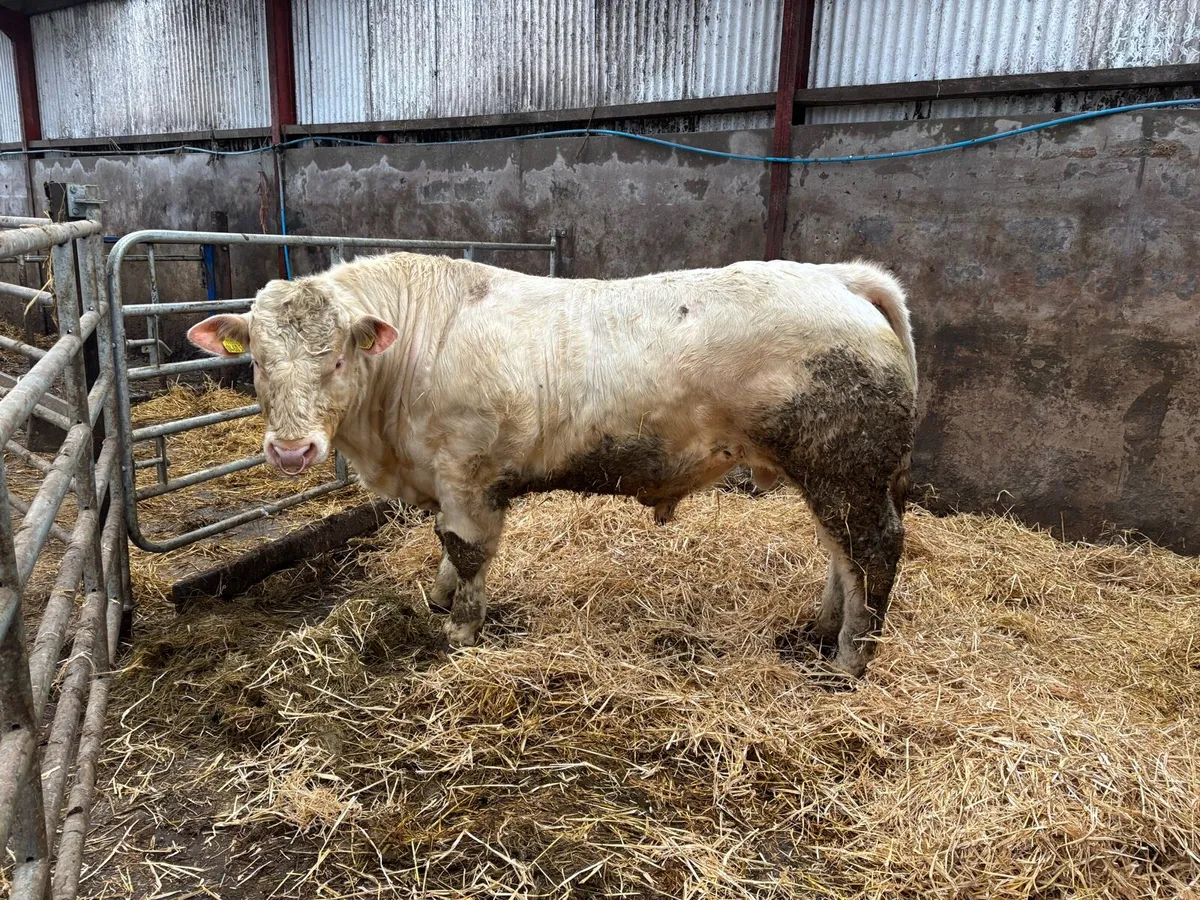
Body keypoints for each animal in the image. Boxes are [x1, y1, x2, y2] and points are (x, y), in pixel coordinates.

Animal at [188, 253, 917, 678]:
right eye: (256, 362)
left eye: (337, 357)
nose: (291, 450)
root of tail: (838, 276)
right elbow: (445, 550)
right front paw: (441, 597)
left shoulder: (470, 475)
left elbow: (467, 550)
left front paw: (460, 628)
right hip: (832, 471)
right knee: (840, 555)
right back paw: (822, 628)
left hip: (845, 468)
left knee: (874, 549)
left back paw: (851, 659)